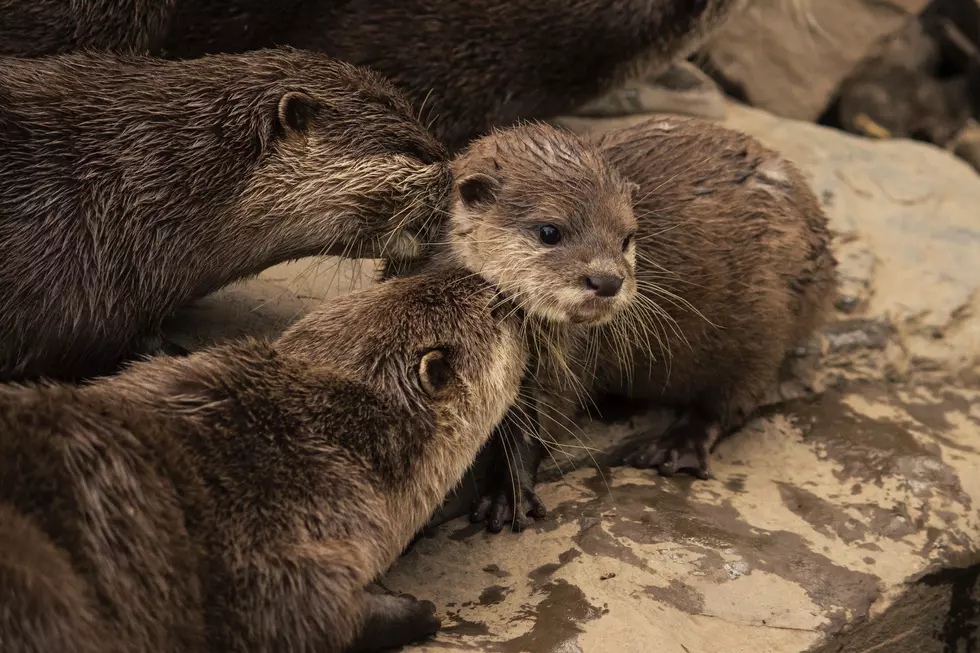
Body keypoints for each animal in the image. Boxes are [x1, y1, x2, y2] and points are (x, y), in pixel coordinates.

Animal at [410, 118, 840, 528]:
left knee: (732, 399)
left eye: (627, 238)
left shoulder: (569, 356)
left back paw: (677, 446)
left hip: (766, 320)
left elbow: (542, 422)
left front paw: (507, 492)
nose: (607, 280)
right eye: (549, 231)